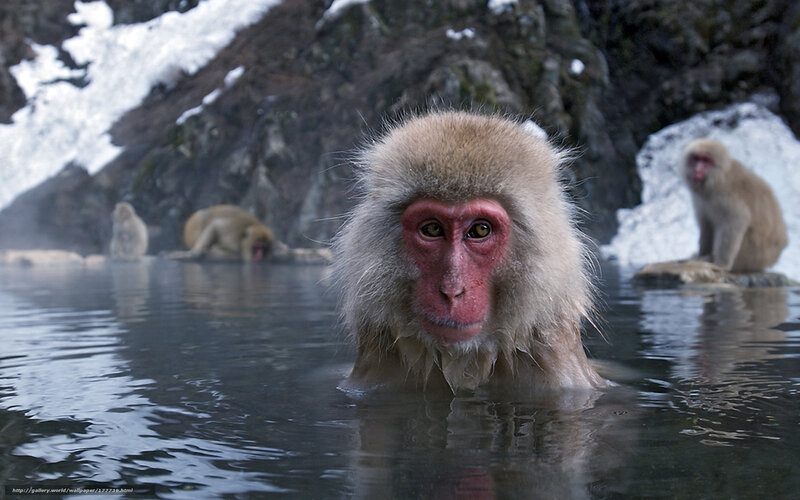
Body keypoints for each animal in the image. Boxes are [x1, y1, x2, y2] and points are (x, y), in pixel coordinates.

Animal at [683, 139, 787, 273]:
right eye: (696, 158)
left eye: (706, 160)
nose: (697, 169)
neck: (717, 178)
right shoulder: (701, 199)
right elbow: (706, 223)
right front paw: (702, 253)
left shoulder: (724, 196)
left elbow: (735, 222)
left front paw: (721, 264)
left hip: (751, 257)